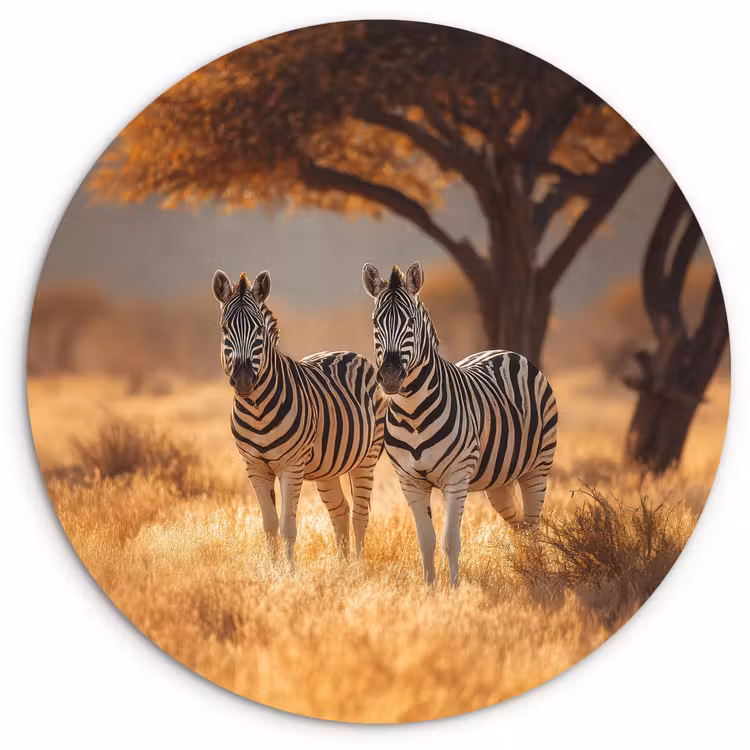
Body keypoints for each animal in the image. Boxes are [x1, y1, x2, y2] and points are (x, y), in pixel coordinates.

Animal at [213, 269, 385, 561]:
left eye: (259, 329)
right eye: (225, 329)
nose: (244, 379)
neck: (257, 409)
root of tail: (348, 352)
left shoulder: (291, 466)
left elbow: (287, 526)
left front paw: (289, 570)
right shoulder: (254, 467)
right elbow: (269, 525)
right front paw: (272, 569)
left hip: (367, 457)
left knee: (360, 515)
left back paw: (358, 567)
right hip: (328, 468)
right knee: (340, 511)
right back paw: (342, 567)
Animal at [362, 262, 558, 587]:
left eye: (411, 322)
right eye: (376, 322)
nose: (389, 376)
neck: (413, 413)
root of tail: (506, 351)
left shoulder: (456, 476)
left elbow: (450, 541)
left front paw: (454, 590)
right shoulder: (410, 481)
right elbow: (426, 540)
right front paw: (429, 588)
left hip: (537, 467)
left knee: (532, 526)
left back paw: (537, 575)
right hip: (499, 480)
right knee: (518, 524)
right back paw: (524, 569)